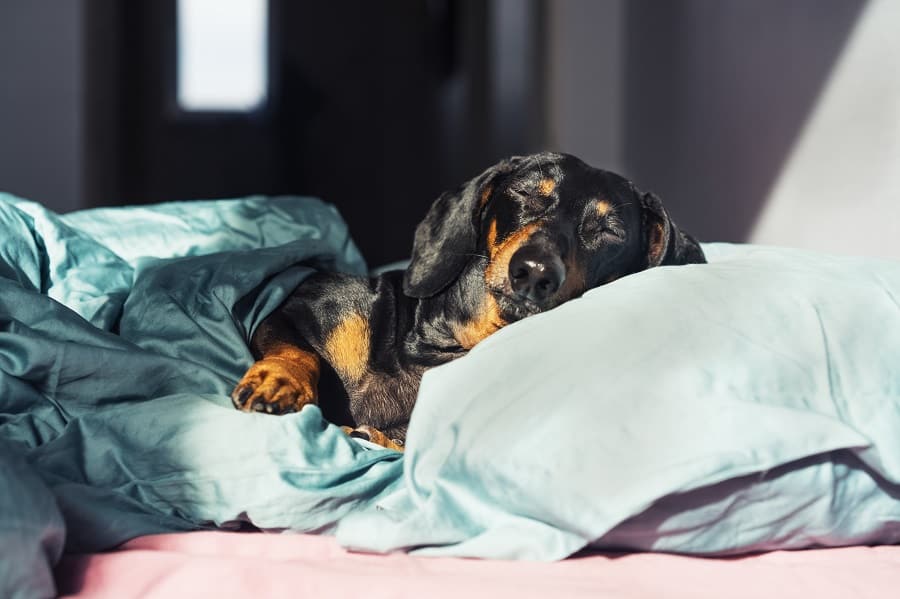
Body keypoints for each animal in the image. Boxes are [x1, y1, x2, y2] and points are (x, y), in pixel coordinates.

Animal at [229, 152, 708, 448]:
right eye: (527, 193)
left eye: (609, 230)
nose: (534, 273)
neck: (441, 347)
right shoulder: (292, 309)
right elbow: (299, 351)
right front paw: (280, 381)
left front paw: (377, 438)